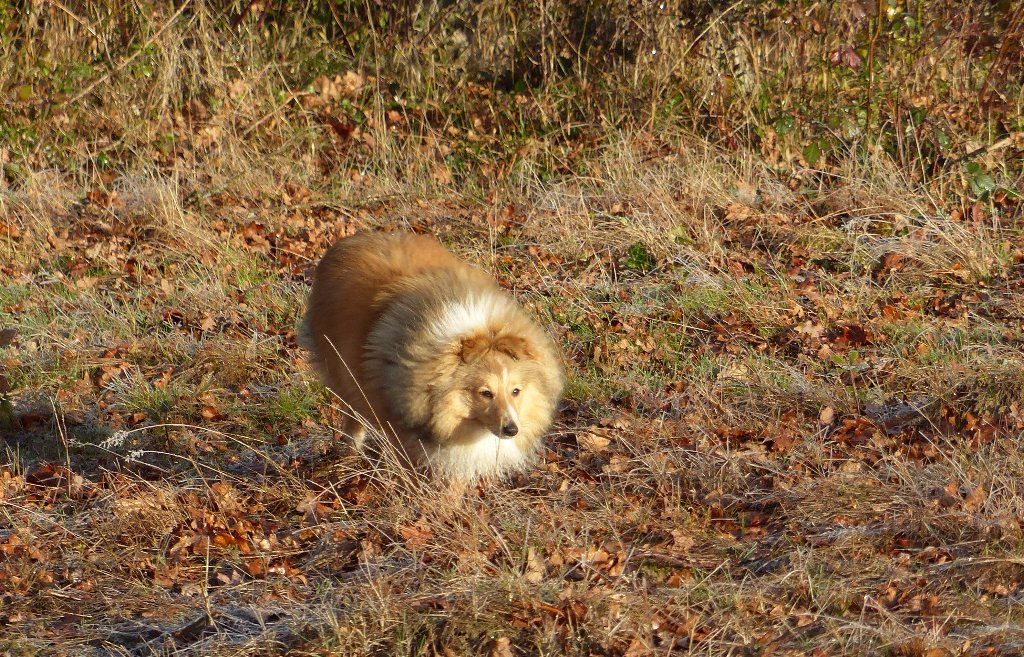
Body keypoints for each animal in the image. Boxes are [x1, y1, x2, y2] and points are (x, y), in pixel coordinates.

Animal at [299, 233, 565, 478]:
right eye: (485, 393)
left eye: (516, 391)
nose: (512, 430)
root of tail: (350, 239)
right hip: (346, 380)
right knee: (353, 420)